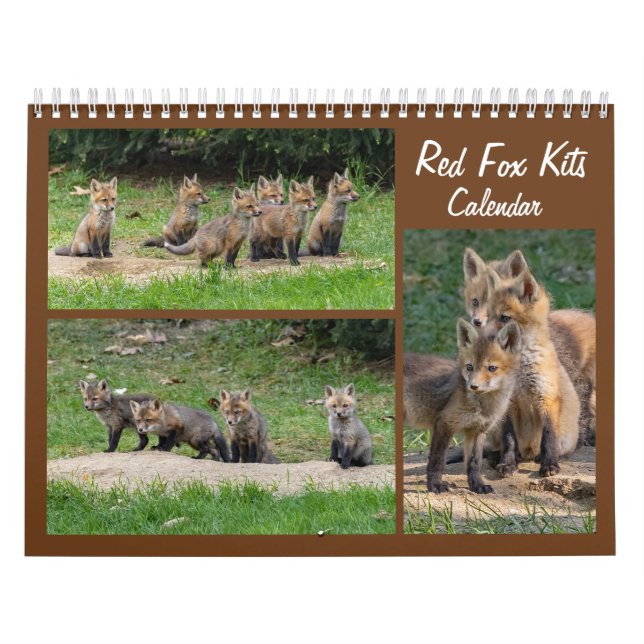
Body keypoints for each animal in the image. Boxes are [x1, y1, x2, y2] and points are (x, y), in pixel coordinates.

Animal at [404, 319, 523, 494]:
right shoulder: (444, 423)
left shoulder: (477, 430)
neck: (483, 406)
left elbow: (474, 463)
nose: (472, 386)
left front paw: (477, 485)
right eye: (469, 367)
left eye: (492, 368)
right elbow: (437, 460)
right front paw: (435, 485)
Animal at [484, 267, 581, 477]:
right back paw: (497, 458)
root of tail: (528, 451)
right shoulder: (507, 403)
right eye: (488, 316)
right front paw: (507, 463)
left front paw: (549, 464)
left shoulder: (546, 396)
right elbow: (508, 439)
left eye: (505, 318)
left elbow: (548, 437)